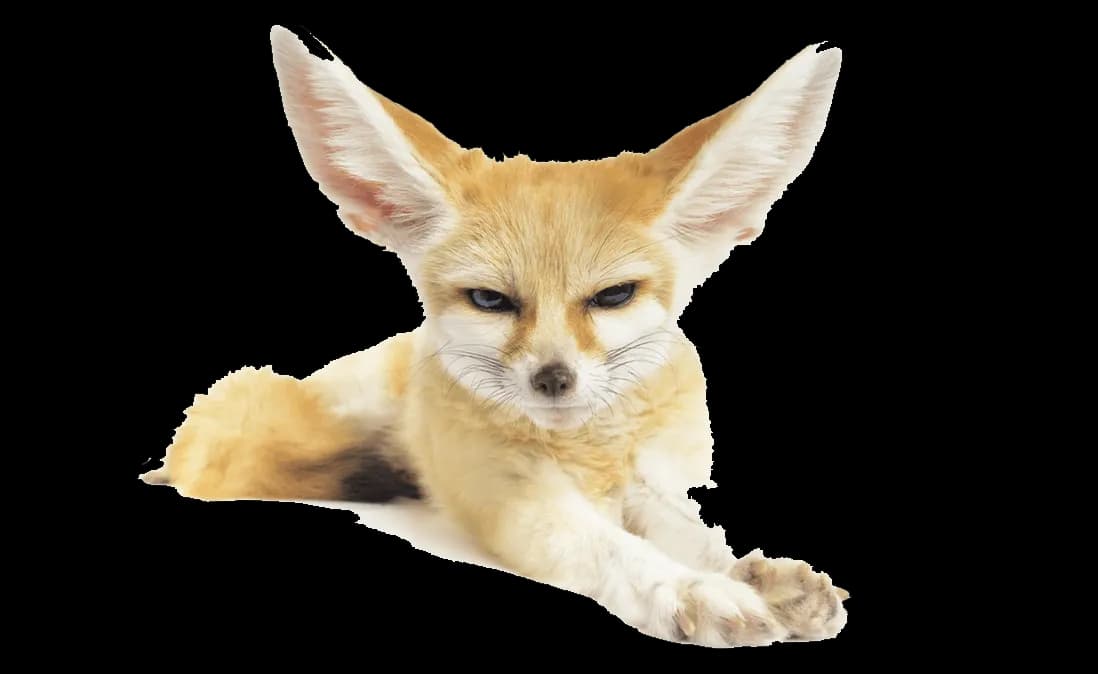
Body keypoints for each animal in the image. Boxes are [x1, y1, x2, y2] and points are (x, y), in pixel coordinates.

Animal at [142, 25, 848, 648]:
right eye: (490, 301)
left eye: (613, 296)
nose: (554, 379)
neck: (580, 453)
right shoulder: (507, 491)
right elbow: (606, 546)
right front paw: (688, 589)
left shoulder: (635, 480)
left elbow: (693, 533)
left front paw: (756, 575)